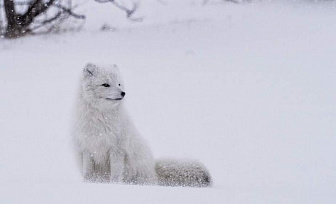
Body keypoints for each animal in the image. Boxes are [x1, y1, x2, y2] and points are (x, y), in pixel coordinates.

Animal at [72, 63, 211, 187]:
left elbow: (116, 174)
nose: (123, 93)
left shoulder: (117, 149)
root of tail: (153, 171)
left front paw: (114, 186)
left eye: (119, 84)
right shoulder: (87, 148)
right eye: (105, 84)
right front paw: (89, 184)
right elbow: (88, 172)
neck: (100, 119)